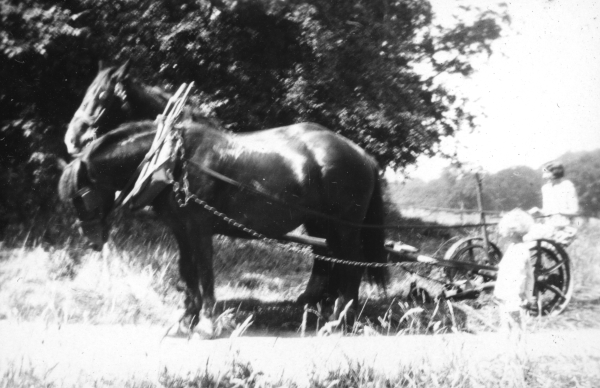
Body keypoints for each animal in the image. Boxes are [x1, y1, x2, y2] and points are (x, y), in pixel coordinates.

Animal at [59, 119, 390, 334]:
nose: (92, 240)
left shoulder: (199, 228)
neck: (173, 162)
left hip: (345, 226)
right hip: (324, 225)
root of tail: (362, 154)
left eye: (81, 197)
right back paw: (321, 309)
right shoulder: (181, 230)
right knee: (330, 260)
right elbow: (187, 270)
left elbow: (205, 271)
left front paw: (206, 321)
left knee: (351, 265)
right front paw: (186, 319)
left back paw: (340, 319)